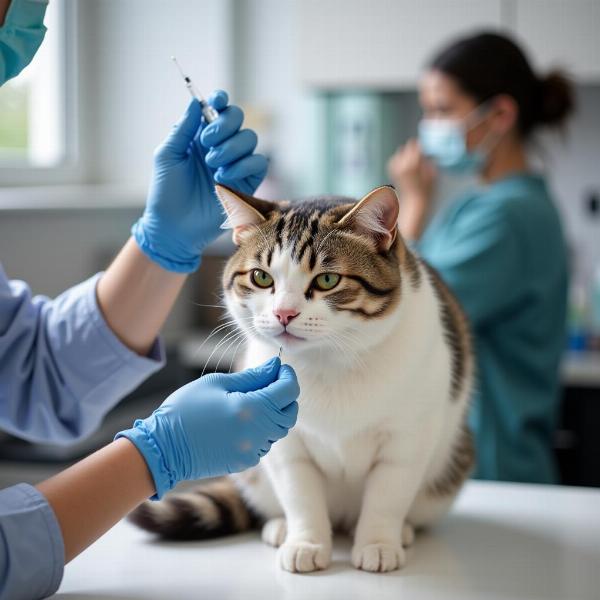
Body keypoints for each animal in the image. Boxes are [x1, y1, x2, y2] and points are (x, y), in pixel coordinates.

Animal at [129, 185, 476, 576]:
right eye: (262, 277)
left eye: (327, 280)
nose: (284, 313)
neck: (330, 362)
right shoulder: (286, 444)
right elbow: (301, 496)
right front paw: (305, 542)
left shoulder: (408, 438)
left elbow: (387, 495)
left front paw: (378, 543)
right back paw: (281, 528)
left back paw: (399, 532)